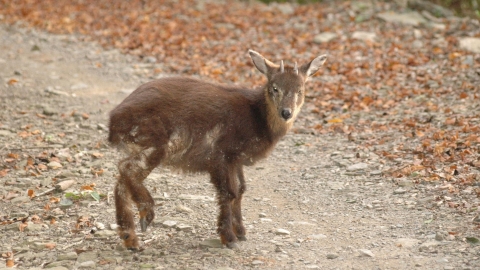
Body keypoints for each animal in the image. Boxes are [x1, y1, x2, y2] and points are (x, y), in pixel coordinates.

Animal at [108, 49, 326, 250]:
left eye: (300, 90)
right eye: (274, 88)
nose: (286, 112)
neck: (257, 119)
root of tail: (113, 121)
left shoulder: (237, 159)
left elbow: (241, 189)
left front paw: (241, 232)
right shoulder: (221, 152)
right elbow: (228, 192)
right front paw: (228, 237)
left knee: (121, 178)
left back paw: (130, 238)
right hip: (156, 140)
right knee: (127, 169)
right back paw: (146, 216)